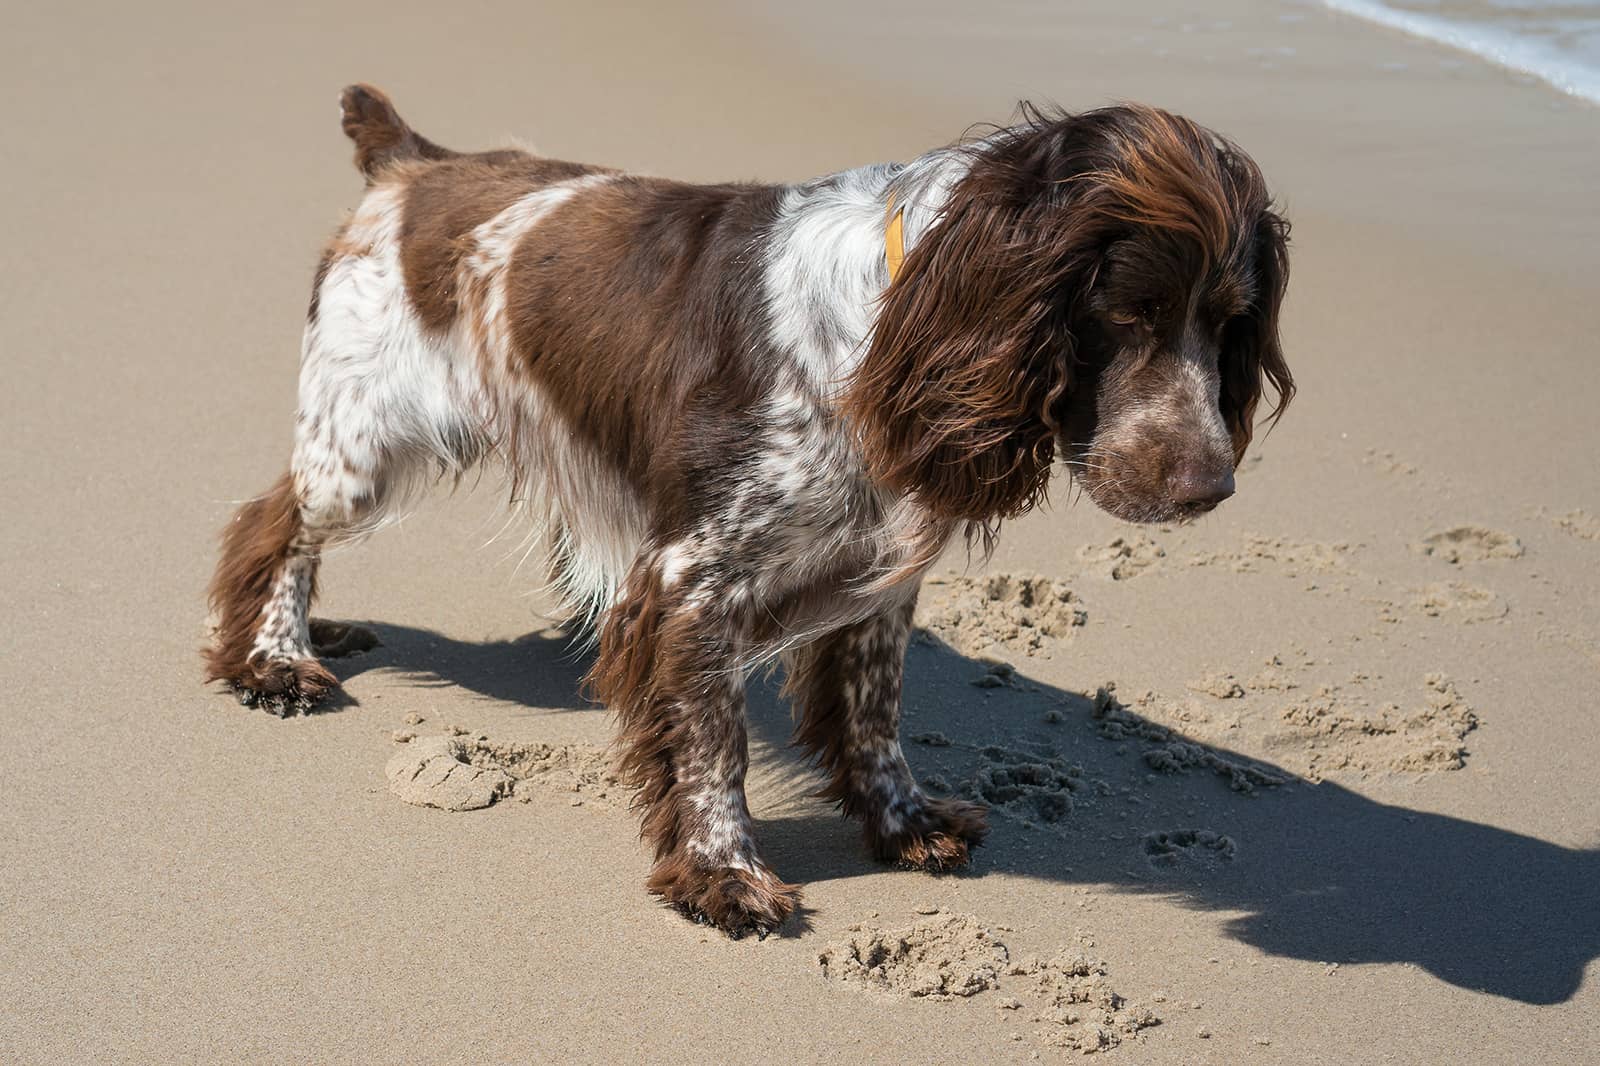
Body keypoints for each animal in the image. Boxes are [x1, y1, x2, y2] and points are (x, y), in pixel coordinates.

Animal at [209, 85, 1286, 928]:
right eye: (1126, 311)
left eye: (1233, 323)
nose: (1209, 487)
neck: (896, 315)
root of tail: (414, 163)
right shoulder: (695, 580)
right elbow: (710, 745)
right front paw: (723, 875)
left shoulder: (875, 575)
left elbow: (873, 713)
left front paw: (903, 824)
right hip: (363, 445)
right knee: (274, 527)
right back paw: (274, 660)